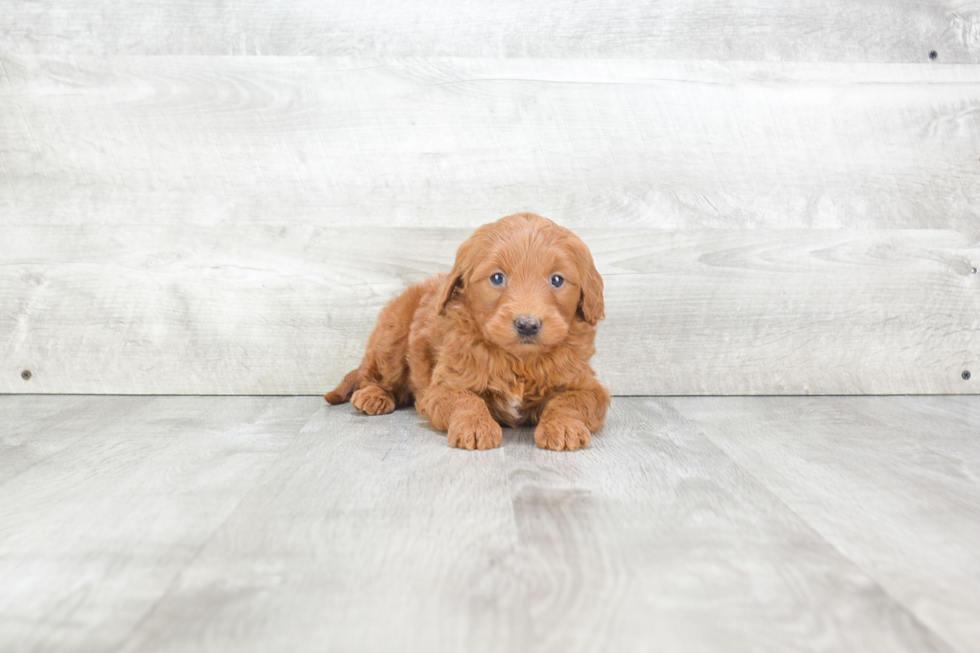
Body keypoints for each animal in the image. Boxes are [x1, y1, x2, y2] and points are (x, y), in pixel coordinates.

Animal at [326, 211, 608, 450]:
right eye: (497, 278)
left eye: (557, 280)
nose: (527, 324)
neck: (519, 361)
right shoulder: (444, 386)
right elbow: (466, 399)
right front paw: (475, 426)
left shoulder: (589, 387)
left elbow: (569, 401)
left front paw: (564, 426)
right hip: (392, 337)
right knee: (374, 374)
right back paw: (373, 395)